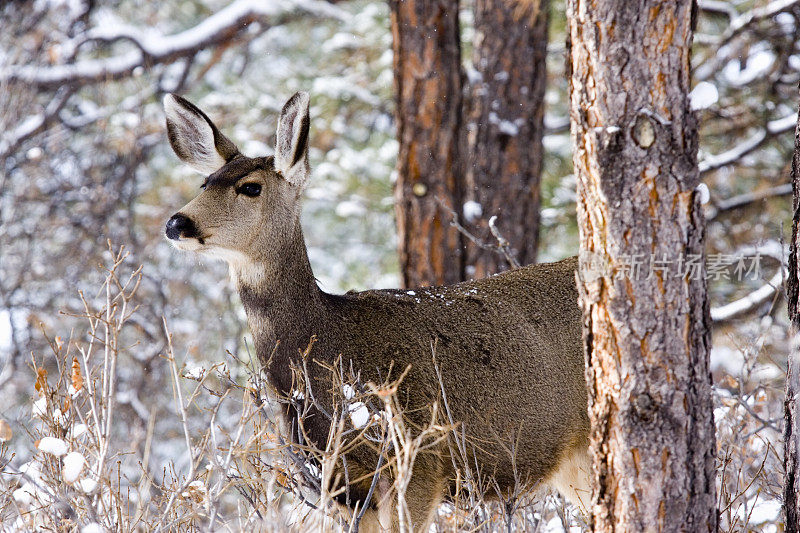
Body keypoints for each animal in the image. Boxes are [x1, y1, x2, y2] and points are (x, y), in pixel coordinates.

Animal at [162, 91, 592, 528]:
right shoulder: (346, 487)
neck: (331, 348)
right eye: (205, 181)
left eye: (250, 187)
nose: (177, 223)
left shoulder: (419, 462)